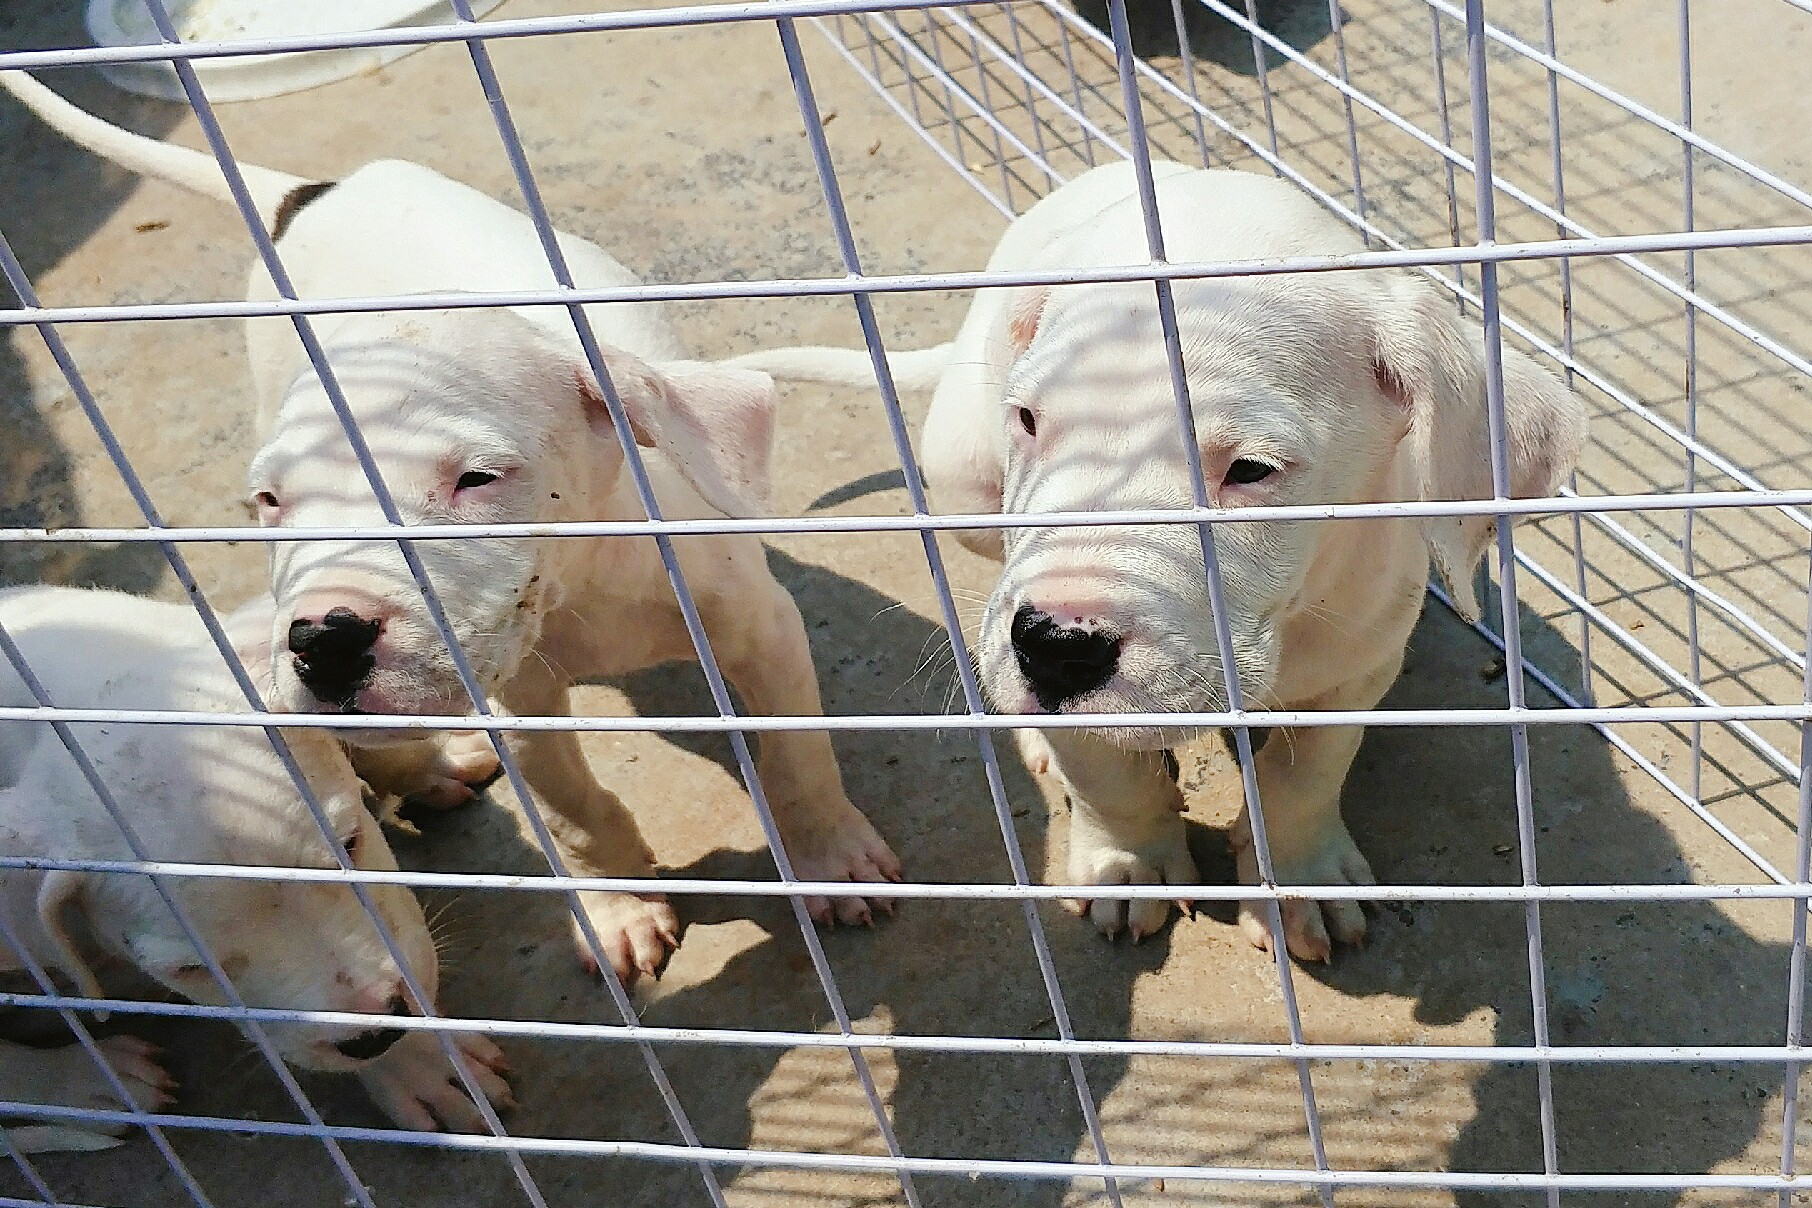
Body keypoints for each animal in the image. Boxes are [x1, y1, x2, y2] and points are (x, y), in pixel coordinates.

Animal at [0, 586, 510, 1151]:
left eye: (350, 844)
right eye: (193, 970)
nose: (374, 1031)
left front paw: (439, 756)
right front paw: (422, 1066)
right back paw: (96, 1083)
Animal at [728, 165, 1580, 970]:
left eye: (1252, 470)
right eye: (1028, 420)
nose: (1054, 648)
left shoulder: (1357, 660)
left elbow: (1306, 775)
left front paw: (1299, 880)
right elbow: (1104, 775)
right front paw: (1127, 864)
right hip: (960, 475)